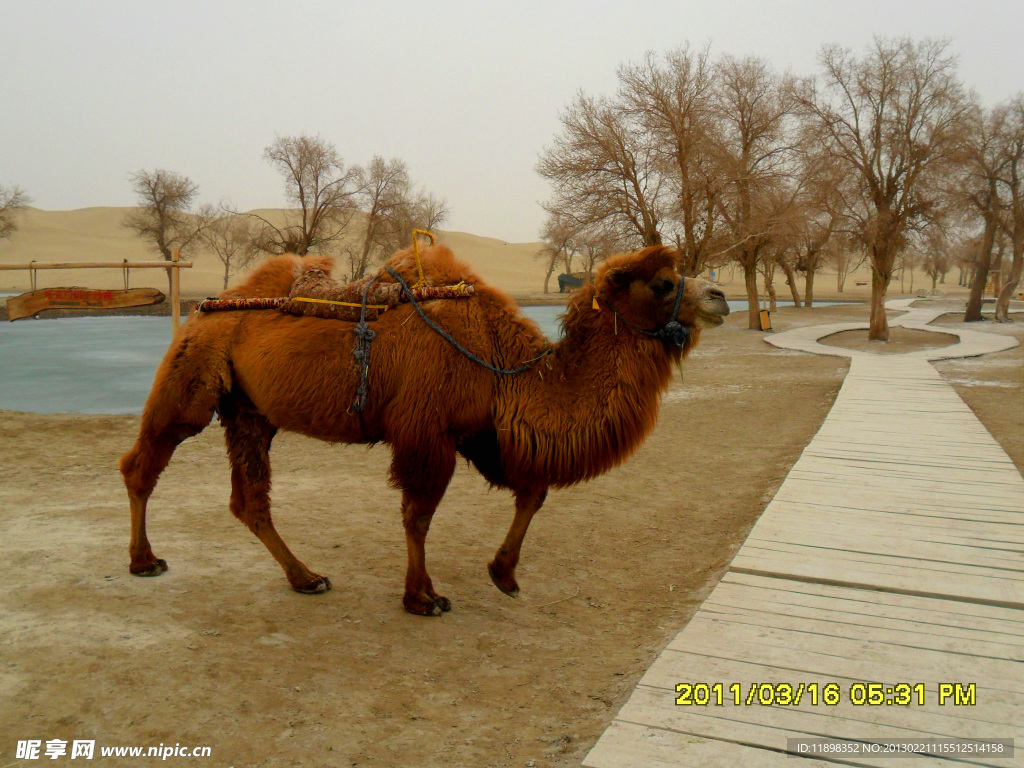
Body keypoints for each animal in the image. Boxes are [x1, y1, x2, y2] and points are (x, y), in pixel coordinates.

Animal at [121, 246, 729, 618]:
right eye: (663, 282)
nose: (721, 297)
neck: (504, 362)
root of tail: (204, 309)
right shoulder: (426, 432)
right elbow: (419, 516)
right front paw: (423, 597)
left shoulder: (482, 432)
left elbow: (532, 492)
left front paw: (504, 575)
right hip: (193, 378)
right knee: (143, 463)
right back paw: (144, 561)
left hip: (250, 411)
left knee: (249, 500)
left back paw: (307, 577)